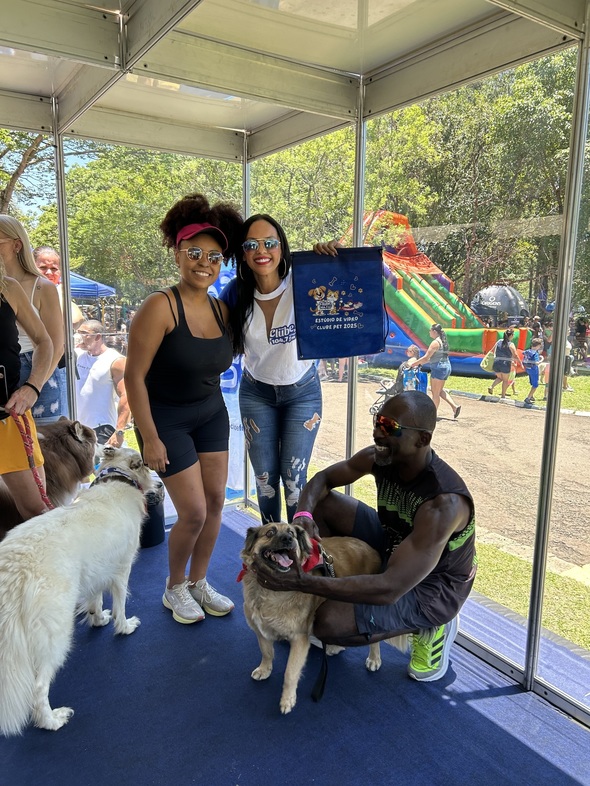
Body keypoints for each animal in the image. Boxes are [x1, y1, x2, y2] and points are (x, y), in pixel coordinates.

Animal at [0, 445, 153, 735]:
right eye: (147, 465)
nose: (161, 483)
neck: (119, 479)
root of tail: (14, 569)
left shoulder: (95, 569)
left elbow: (95, 599)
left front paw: (98, 619)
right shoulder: (122, 569)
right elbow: (120, 606)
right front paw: (125, 626)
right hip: (55, 636)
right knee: (38, 689)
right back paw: (52, 720)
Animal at [240, 521, 408, 714]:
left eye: (292, 533)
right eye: (270, 533)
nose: (288, 539)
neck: (270, 593)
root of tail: (372, 549)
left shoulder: (299, 639)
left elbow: (290, 672)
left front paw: (288, 699)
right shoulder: (260, 629)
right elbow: (266, 652)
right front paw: (265, 669)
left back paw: (374, 658)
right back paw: (334, 647)